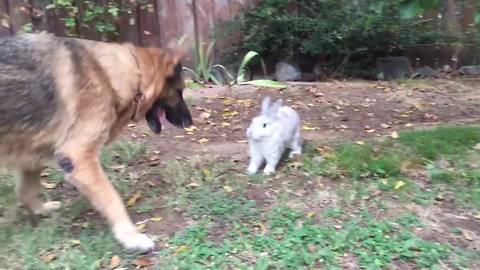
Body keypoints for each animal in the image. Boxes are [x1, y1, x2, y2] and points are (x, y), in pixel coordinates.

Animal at [0, 32, 193, 252]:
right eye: (179, 91)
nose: (190, 122)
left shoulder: (31, 150)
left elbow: (27, 189)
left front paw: (40, 209)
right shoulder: (78, 157)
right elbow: (112, 199)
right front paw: (131, 236)